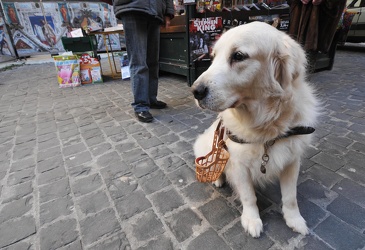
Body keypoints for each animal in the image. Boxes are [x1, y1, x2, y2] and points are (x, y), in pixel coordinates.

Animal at [192, 22, 318, 238]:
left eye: (238, 56)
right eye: (213, 56)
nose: (195, 91)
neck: (267, 126)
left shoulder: (292, 161)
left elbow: (290, 197)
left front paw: (294, 220)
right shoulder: (239, 164)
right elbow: (249, 197)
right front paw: (252, 220)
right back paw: (218, 179)